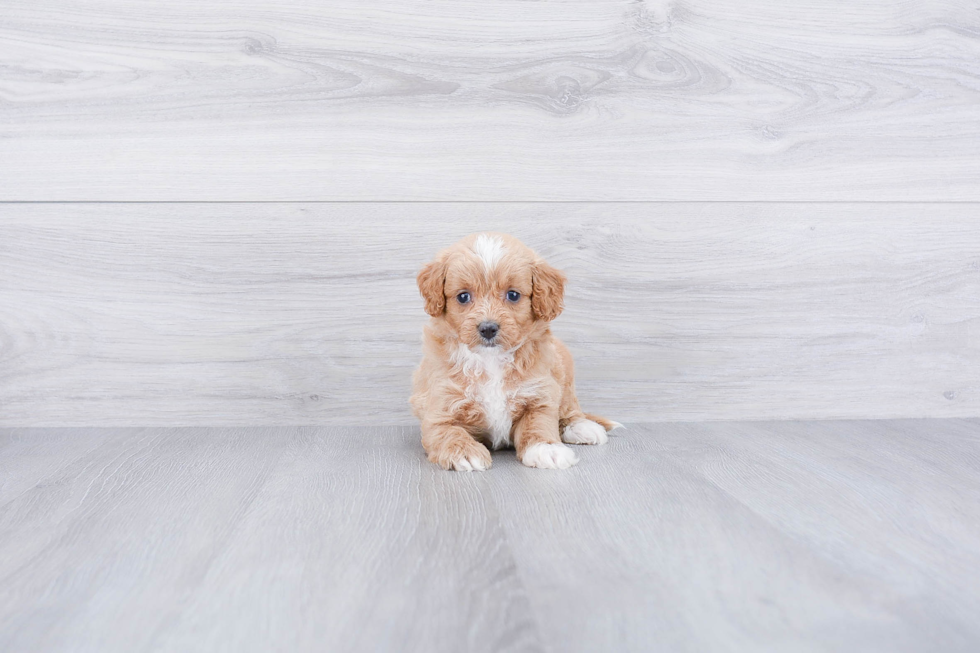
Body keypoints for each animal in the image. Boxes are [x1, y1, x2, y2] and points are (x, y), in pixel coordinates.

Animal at [410, 233, 616, 468]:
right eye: (463, 297)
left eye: (513, 295)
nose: (488, 328)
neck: (490, 359)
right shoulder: (438, 407)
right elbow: (447, 431)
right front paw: (464, 452)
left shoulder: (540, 394)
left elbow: (539, 423)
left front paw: (546, 448)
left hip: (565, 368)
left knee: (569, 407)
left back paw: (582, 426)